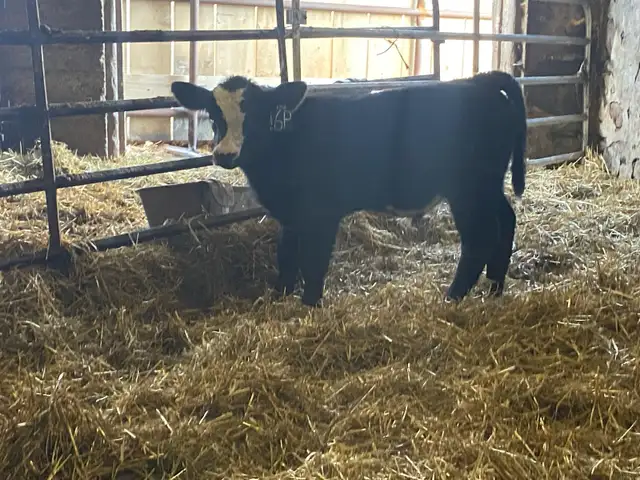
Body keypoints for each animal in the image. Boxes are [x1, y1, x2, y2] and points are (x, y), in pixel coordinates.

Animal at [170, 70, 527, 307]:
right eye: (213, 114)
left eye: (255, 116)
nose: (224, 154)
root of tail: (478, 82)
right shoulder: (290, 215)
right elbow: (286, 255)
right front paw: (280, 297)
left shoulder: (322, 213)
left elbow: (314, 261)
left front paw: (310, 305)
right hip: (487, 186)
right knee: (506, 221)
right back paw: (495, 289)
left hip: (468, 189)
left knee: (480, 238)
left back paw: (453, 297)